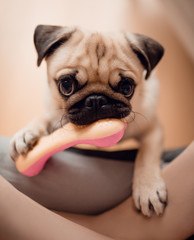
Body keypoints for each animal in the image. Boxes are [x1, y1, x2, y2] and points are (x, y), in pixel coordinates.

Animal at [9, 24, 167, 218]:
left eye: (126, 87)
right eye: (66, 85)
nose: (96, 99)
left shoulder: (152, 129)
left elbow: (146, 155)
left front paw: (148, 189)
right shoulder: (55, 115)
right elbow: (43, 119)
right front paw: (27, 133)